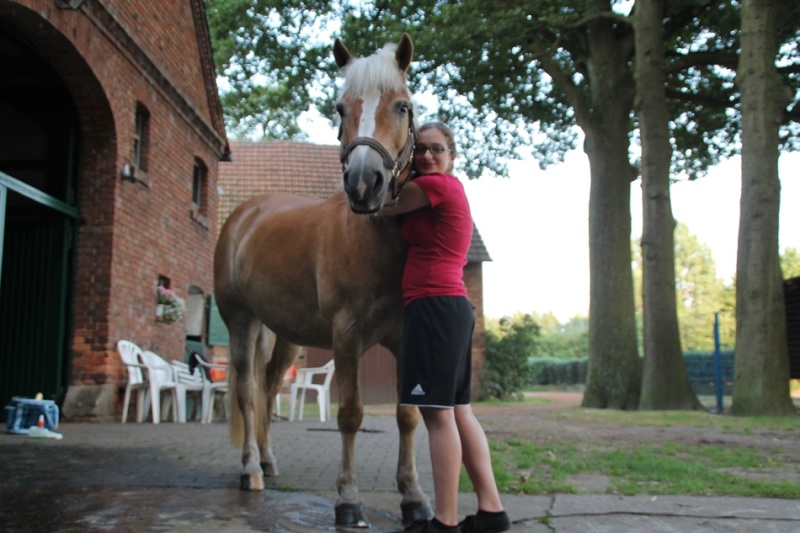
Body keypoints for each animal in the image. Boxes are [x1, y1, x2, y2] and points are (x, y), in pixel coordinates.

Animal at [214, 34, 432, 528]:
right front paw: (348, 499)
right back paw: (251, 469)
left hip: (283, 334)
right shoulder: (347, 335)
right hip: (241, 322)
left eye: (403, 107)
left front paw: (413, 497)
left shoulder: (406, 339)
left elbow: (407, 416)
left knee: (268, 387)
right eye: (339, 108)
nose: (364, 184)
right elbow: (349, 414)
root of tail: (244, 215)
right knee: (248, 393)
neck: (377, 238)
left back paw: (269, 460)